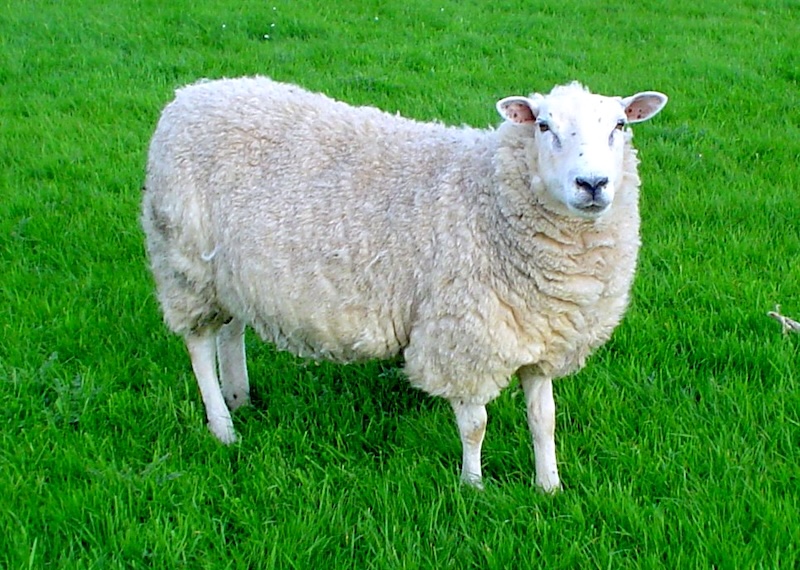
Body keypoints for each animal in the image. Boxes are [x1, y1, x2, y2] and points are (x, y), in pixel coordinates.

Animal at [141, 76, 667, 491]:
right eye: (543, 126)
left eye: (620, 126)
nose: (592, 184)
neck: (489, 197)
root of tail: (189, 95)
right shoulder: (463, 336)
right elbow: (475, 425)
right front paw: (472, 487)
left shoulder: (537, 335)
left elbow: (544, 421)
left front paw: (549, 486)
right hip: (183, 262)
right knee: (199, 344)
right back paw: (223, 425)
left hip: (228, 272)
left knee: (231, 331)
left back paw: (241, 397)